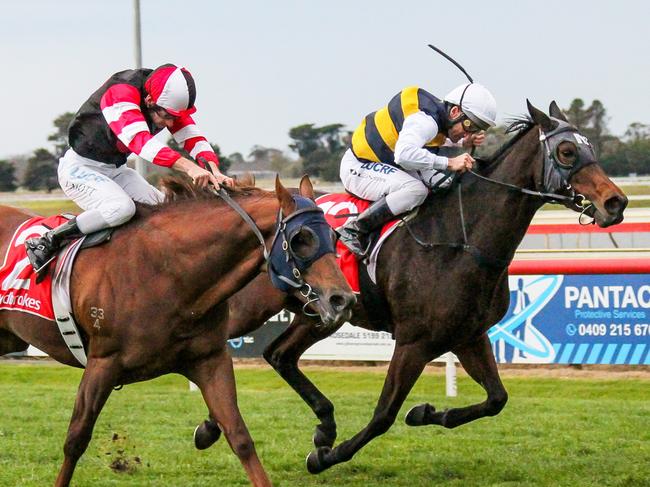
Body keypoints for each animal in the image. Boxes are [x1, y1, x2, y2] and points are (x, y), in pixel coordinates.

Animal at [1, 176, 354, 487]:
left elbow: (240, 436)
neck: (169, 273)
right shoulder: (102, 363)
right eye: (300, 239)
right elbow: (76, 439)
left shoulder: (209, 359)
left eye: (334, 237)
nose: (343, 299)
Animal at [194, 102, 628, 472]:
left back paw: (286, 424)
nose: (616, 202)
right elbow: (383, 415)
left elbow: (496, 399)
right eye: (568, 151)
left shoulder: (467, 335)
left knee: (278, 354)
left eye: (590, 147)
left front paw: (426, 413)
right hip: (248, 307)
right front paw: (326, 456)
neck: (461, 240)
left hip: (323, 311)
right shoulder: (414, 341)